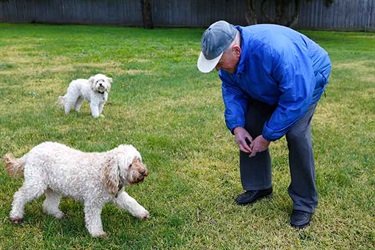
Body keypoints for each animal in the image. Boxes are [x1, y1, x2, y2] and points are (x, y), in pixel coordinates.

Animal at [4, 142, 150, 237]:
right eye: (130, 165)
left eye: (139, 160)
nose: (143, 172)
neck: (105, 171)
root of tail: (30, 152)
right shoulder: (92, 202)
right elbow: (93, 219)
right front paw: (98, 233)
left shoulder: (118, 195)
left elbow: (131, 202)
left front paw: (142, 213)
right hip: (36, 184)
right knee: (19, 196)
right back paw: (16, 215)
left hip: (54, 188)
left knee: (48, 204)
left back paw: (55, 213)